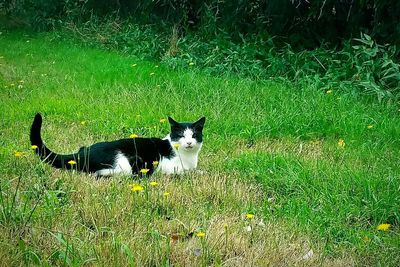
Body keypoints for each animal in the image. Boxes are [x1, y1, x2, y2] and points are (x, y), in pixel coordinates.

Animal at [30, 114, 206, 177]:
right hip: (124, 165)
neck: (188, 157)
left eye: (194, 135)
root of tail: (82, 153)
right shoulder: (169, 167)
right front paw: (198, 173)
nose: (189, 142)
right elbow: (187, 172)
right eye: (181, 135)